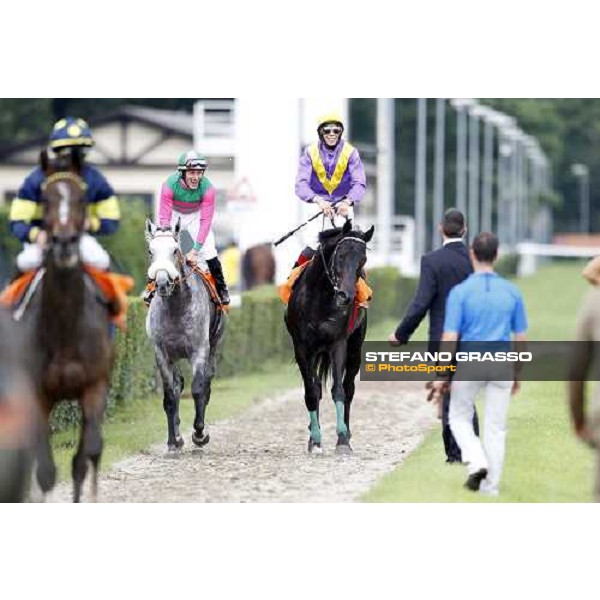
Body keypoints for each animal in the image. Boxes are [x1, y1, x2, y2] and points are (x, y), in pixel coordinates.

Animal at [19, 150, 115, 502]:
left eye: (82, 197)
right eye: (44, 198)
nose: (63, 242)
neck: (64, 330)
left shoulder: (94, 388)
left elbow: (85, 456)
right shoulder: (36, 394)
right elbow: (45, 470)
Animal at [146, 219, 226, 450]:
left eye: (174, 250)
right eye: (150, 251)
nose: (162, 283)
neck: (176, 306)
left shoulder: (199, 350)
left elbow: (198, 389)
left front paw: (199, 433)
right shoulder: (162, 353)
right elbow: (170, 396)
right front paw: (173, 440)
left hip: (214, 346)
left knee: (207, 381)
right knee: (178, 384)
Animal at [286, 218, 376, 452]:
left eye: (363, 259)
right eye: (341, 255)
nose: (346, 296)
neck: (320, 299)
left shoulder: (338, 343)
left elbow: (339, 390)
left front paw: (342, 439)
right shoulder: (302, 348)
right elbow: (311, 392)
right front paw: (315, 439)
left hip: (355, 348)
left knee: (349, 387)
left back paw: (347, 432)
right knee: (316, 386)